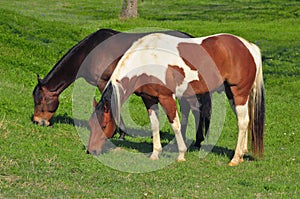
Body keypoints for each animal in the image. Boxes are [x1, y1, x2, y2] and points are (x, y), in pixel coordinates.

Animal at [32, 28, 211, 143]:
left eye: (39, 100)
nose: (38, 121)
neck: (90, 51)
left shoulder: (103, 82)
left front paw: (121, 133)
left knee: (194, 108)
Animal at [87, 33, 264, 166]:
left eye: (104, 125)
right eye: (91, 124)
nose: (90, 151)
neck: (146, 58)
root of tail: (249, 46)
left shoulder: (167, 97)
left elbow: (175, 125)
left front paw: (181, 154)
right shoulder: (149, 99)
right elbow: (154, 125)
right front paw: (155, 153)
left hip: (239, 93)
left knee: (242, 122)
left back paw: (235, 159)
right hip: (232, 94)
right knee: (245, 121)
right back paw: (242, 153)